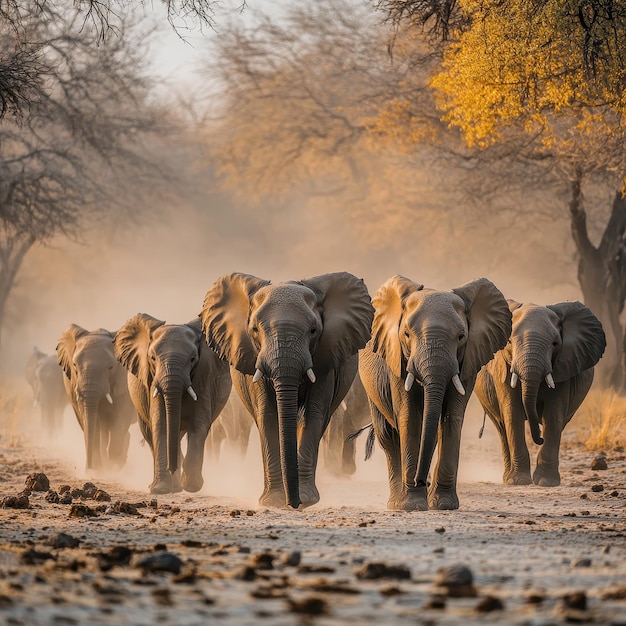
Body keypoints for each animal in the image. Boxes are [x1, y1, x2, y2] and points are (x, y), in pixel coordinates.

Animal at [56, 326, 136, 468]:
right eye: (74, 365)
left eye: (111, 367)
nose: (88, 468)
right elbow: (89, 422)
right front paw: (100, 469)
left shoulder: (124, 385)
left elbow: (121, 418)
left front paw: (114, 465)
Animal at [113, 312, 230, 492]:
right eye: (152, 358)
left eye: (193, 359)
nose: (172, 468)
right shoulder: (152, 381)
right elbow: (161, 424)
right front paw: (161, 489)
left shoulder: (203, 378)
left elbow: (198, 424)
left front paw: (191, 486)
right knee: (151, 435)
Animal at [200, 270, 370, 510]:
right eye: (255, 330)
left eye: (313, 331)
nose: (294, 503)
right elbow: (268, 415)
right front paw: (274, 501)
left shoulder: (325, 360)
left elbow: (312, 414)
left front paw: (306, 499)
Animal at [358, 276, 510, 510]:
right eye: (406, 334)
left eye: (461, 337)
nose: (421, 481)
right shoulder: (398, 359)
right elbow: (410, 417)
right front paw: (412, 505)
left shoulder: (467, 361)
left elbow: (451, 417)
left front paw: (443, 504)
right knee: (388, 436)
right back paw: (395, 502)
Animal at [472, 300, 604, 486]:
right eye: (509, 342)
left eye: (555, 344)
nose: (539, 438)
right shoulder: (502, 368)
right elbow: (513, 414)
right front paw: (519, 481)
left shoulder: (562, 366)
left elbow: (553, 416)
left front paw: (546, 482)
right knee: (502, 427)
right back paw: (507, 478)